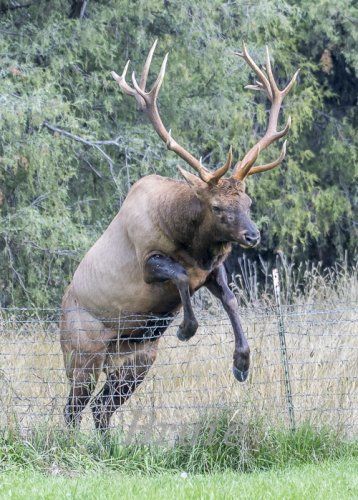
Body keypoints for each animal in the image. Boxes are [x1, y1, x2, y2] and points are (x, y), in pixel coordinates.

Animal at [60, 42, 298, 430]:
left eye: (248, 200)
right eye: (217, 206)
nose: (252, 236)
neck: (192, 244)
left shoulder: (213, 269)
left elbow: (231, 299)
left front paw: (242, 364)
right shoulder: (148, 260)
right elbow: (181, 277)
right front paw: (187, 329)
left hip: (137, 359)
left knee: (102, 408)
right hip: (82, 353)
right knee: (72, 409)